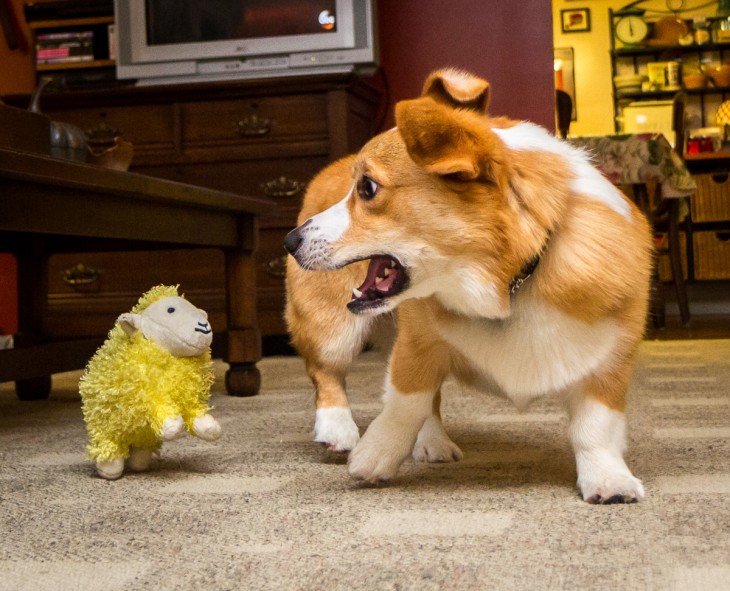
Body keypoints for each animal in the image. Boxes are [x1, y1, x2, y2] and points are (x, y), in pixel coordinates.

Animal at [282, 69, 648, 504]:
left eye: (367, 188)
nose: (289, 241)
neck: (510, 285)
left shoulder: (609, 359)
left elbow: (596, 427)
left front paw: (608, 480)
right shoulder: (417, 344)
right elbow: (405, 402)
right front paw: (375, 455)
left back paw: (432, 442)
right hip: (331, 327)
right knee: (326, 373)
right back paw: (337, 428)